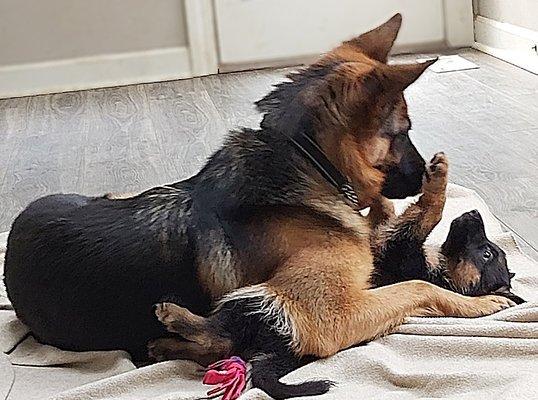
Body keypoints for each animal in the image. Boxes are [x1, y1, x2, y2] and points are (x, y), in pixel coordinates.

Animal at [2, 14, 510, 362]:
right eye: (403, 131)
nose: (422, 171)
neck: (308, 160)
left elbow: (387, 226)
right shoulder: (330, 315)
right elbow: (417, 287)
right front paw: (481, 301)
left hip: (114, 196)